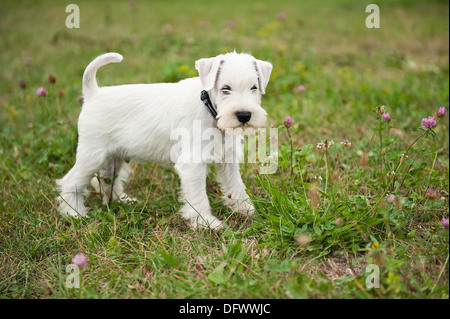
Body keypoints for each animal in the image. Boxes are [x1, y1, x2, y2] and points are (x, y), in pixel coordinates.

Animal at [58, 51, 272, 229]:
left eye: (254, 87)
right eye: (225, 88)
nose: (244, 115)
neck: (209, 108)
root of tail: (93, 93)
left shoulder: (227, 158)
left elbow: (235, 185)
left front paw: (246, 209)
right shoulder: (192, 163)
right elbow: (198, 195)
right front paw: (206, 222)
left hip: (114, 157)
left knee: (108, 181)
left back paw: (122, 201)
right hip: (92, 156)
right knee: (70, 182)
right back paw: (75, 214)